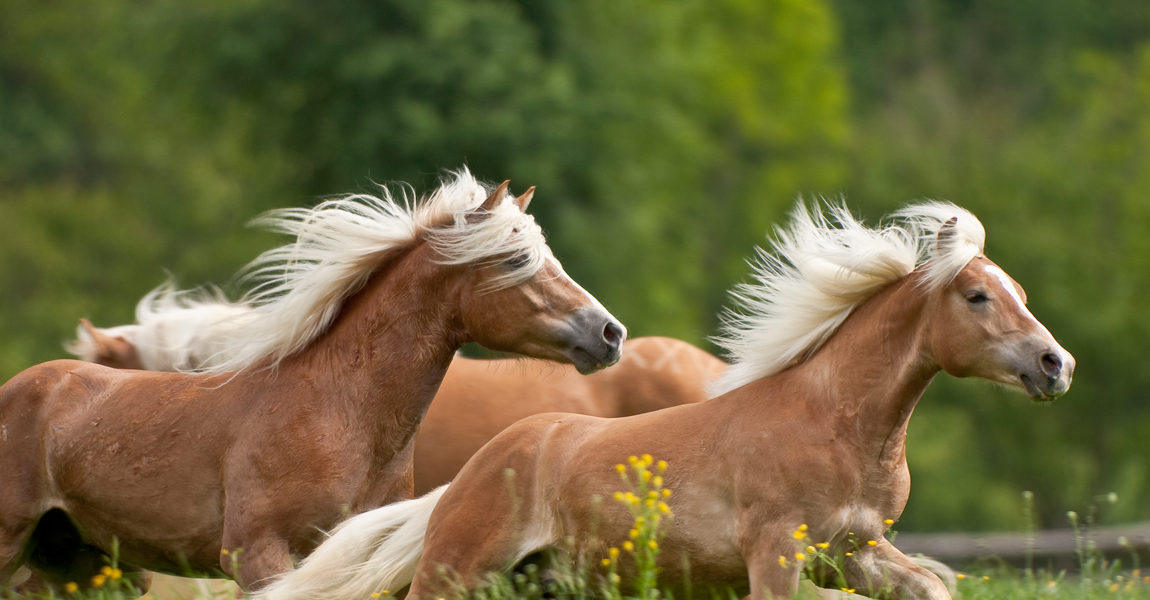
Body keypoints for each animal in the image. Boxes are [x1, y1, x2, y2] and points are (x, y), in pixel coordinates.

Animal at [256, 201, 1071, 597]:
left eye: (1022, 294)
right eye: (976, 296)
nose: (1055, 364)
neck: (836, 425)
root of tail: (464, 480)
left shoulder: (854, 552)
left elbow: (932, 586)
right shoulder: (778, 552)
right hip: (454, 574)